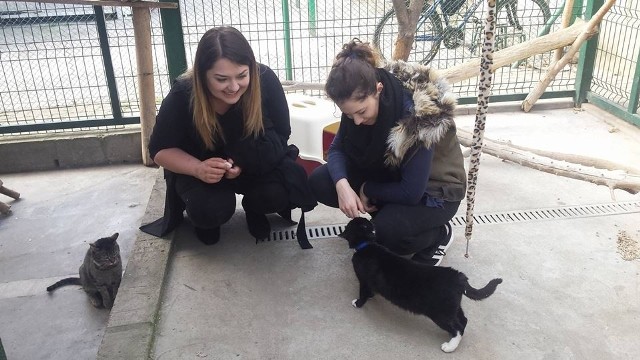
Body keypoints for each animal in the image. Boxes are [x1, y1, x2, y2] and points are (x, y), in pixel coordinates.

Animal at [340, 218, 504, 352]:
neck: (367, 244)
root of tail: (459, 277)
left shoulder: (363, 279)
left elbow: (363, 292)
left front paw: (358, 303)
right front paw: (371, 296)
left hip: (440, 313)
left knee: (457, 327)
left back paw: (450, 346)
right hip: (453, 307)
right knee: (463, 321)